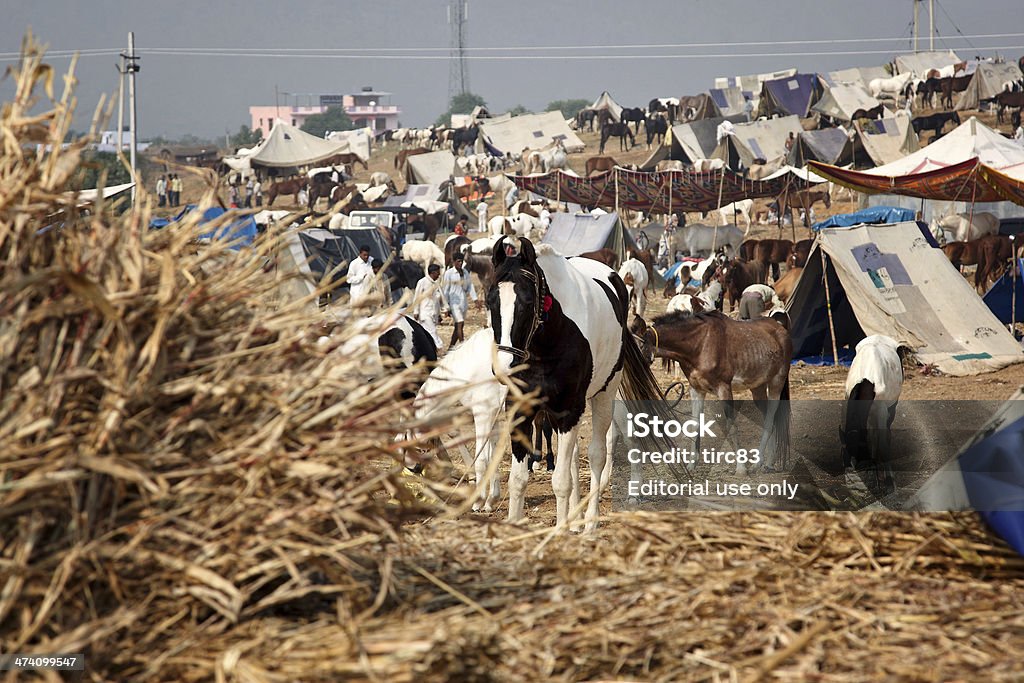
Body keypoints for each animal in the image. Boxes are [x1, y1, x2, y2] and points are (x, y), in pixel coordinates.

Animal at [487, 237, 663, 532]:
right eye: (491, 301)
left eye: (526, 302)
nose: (504, 365)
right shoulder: (520, 407)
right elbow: (518, 478)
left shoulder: (569, 409)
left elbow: (561, 480)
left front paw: (559, 530)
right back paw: (575, 519)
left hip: (604, 394)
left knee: (597, 454)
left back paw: (589, 523)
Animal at [634, 311, 794, 475]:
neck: (699, 345)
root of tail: (780, 327)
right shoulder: (696, 390)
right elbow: (694, 425)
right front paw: (691, 465)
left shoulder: (724, 389)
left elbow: (732, 426)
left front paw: (741, 468)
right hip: (758, 388)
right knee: (770, 420)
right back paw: (768, 463)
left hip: (776, 383)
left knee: (770, 419)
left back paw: (757, 463)